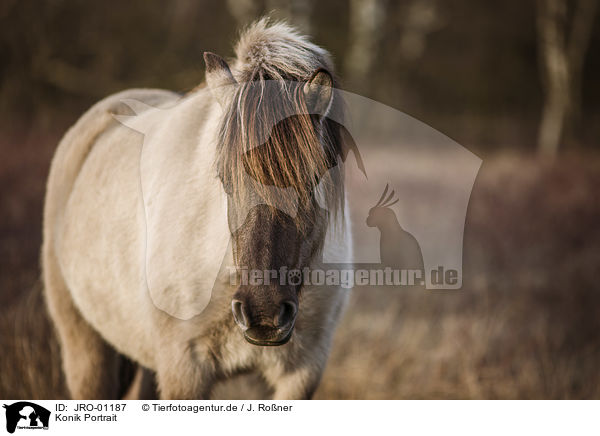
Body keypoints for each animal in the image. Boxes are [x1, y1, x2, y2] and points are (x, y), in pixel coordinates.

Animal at [42, 18, 354, 400]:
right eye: (224, 178)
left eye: (312, 179)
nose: (263, 313)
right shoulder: (184, 370)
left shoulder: (301, 374)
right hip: (86, 350)